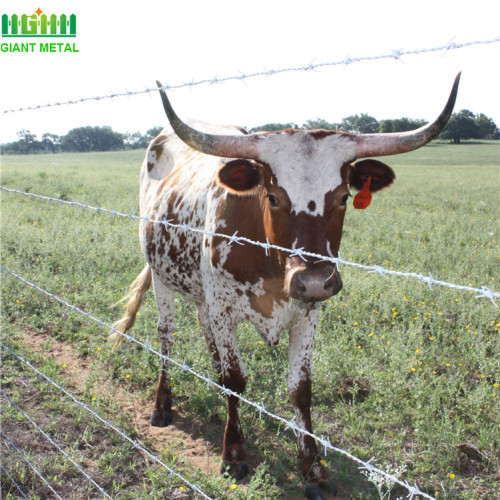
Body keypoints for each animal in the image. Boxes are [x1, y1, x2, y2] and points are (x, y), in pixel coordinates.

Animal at [114, 74, 460, 500]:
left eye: (344, 197)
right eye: (273, 197)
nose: (313, 280)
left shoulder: (308, 314)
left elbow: (300, 389)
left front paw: (312, 467)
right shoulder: (225, 307)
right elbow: (236, 380)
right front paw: (233, 454)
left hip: (202, 293)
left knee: (205, 332)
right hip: (162, 277)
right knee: (167, 336)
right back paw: (163, 404)